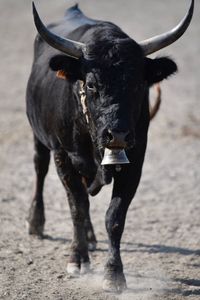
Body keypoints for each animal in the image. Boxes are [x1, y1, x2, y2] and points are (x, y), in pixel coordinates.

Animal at [25, 1, 193, 292]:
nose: (118, 134)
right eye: (91, 84)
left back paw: (92, 238)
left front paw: (114, 274)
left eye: (139, 84)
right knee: (39, 169)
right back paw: (37, 222)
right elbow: (77, 207)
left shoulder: (135, 161)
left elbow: (114, 217)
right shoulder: (62, 155)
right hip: (40, 138)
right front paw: (77, 260)